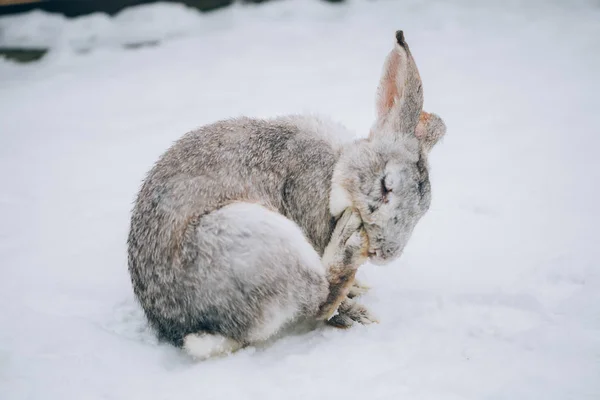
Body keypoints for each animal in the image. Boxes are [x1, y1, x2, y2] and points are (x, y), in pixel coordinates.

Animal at [127, 31, 446, 360]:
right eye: (385, 186)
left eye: (423, 210)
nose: (385, 254)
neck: (339, 165)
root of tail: (187, 329)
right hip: (260, 240)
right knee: (318, 299)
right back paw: (349, 252)